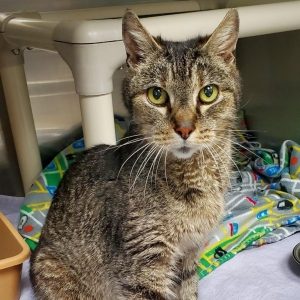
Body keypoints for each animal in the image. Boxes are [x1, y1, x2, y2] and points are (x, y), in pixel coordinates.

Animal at [30, 9, 240, 300]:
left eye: (208, 92)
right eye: (157, 95)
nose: (185, 128)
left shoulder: (189, 255)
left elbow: (188, 291)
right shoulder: (143, 264)